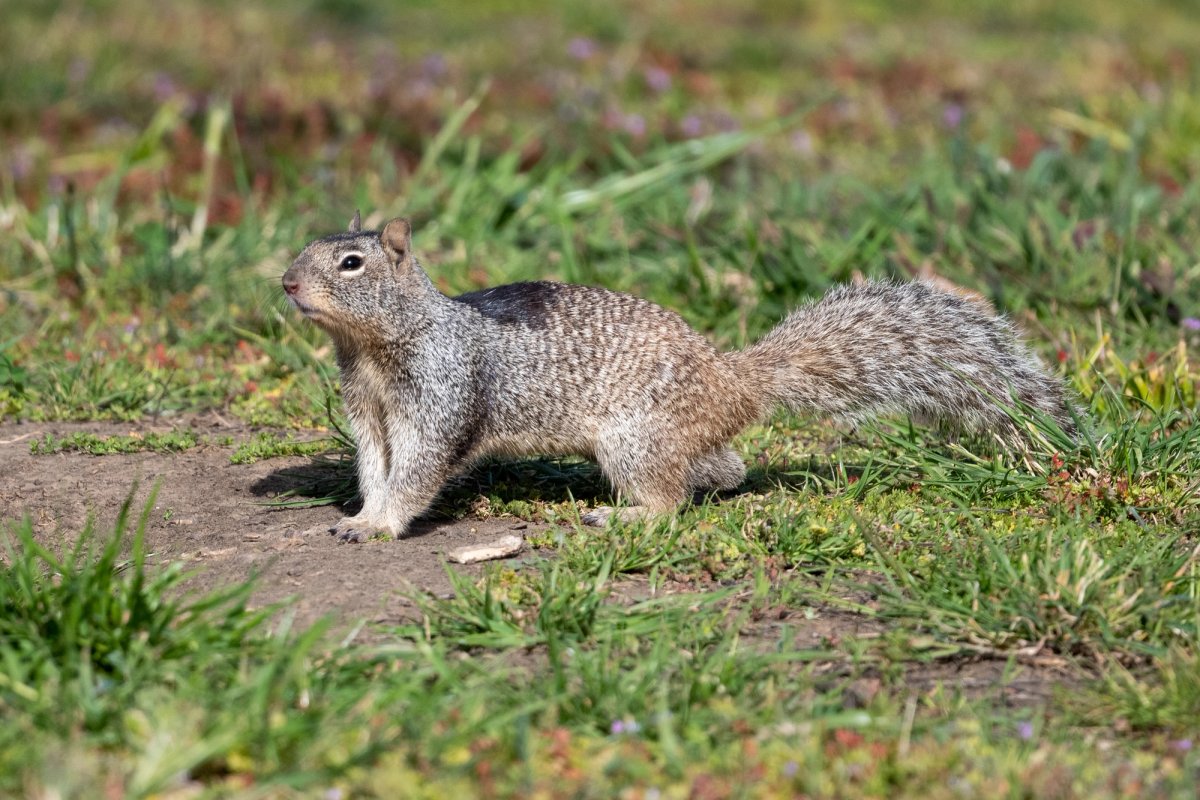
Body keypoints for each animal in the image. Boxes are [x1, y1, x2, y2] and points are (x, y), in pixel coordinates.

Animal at [282, 213, 1078, 541]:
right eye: (308, 244)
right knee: (724, 469)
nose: (287, 282)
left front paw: (380, 526)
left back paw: (623, 516)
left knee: (671, 498)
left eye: (351, 263)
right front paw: (360, 514)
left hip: (636, 437)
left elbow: (418, 470)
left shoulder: (441, 392)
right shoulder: (368, 411)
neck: (374, 348)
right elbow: (375, 465)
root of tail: (736, 382)